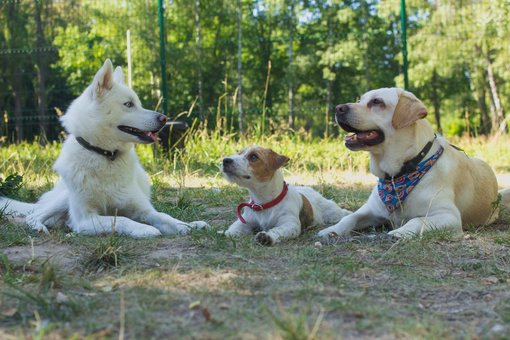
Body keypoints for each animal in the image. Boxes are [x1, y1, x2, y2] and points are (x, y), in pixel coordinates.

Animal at [0, 59, 208, 236]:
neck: (106, 156)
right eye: (128, 104)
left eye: (138, 103)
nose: (164, 118)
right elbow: (121, 219)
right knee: (34, 215)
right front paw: (145, 229)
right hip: (63, 198)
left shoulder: (143, 209)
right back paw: (39, 227)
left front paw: (187, 225)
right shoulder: (85, 219)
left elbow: (164, 217)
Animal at [221, 145, 352, 244]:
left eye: (253, 156)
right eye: (238, 153)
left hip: (332, 212)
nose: (225, 160)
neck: (264, 202)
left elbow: (277, 230)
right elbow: (231, 231)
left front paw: (267, 237)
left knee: (342, 213)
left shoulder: (290, 224)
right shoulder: (244, 222)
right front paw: (225, 233)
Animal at [316, 88, 508, 239]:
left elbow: (417, 220)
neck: (401, 173)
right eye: (360, 100)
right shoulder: (371, 209)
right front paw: (331, 230)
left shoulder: (449, 216)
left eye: (377, 101)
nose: (338, 108)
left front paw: (399, 232)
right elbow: (349, 217)